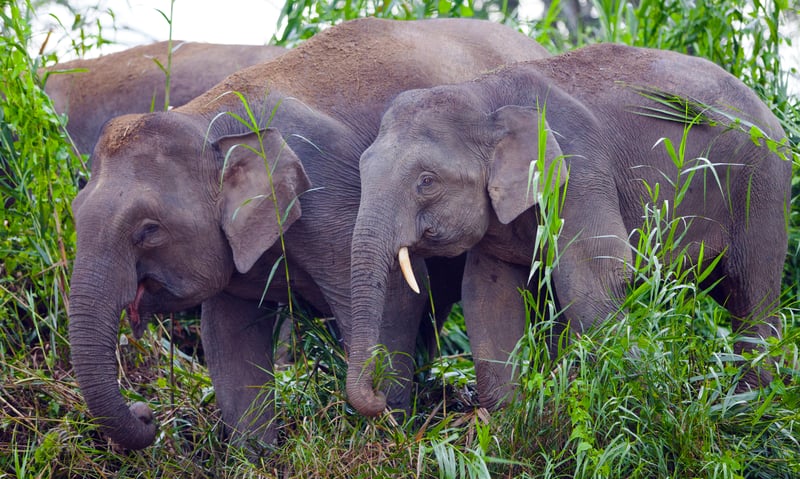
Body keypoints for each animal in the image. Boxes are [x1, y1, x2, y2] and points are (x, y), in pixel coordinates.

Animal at [68, 17, 550, 451]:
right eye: (75, 214)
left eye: (148, 230)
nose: (146, 414)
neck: (208, 116)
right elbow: (227, 336)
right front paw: (256, 456)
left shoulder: (330, 198)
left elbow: (397, 298)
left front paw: (388, 431)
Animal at [346, 43, 792, 417]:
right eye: (363, 168)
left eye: (426, 181)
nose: (384, 400)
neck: (484, 93)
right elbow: (487, 294)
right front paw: (511, 421)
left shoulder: (578, 169)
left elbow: (595, 275)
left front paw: (622, 399)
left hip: (763, 187)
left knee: (751, 292)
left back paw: (743, 407)